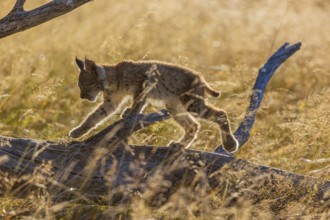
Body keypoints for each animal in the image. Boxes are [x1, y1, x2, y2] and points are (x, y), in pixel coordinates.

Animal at [69, 57, 238, 152]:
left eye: (86, 85)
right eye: (80, 86)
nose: (82, 97)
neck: (111, 78)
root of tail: (201, 78)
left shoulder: (143, 84)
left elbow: (137, 102)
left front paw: (130, 113)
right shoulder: (111, 101)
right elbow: (94, 116)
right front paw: (78, 131)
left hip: (192, 102)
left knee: (221, 113)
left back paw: (230, 145)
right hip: (174, 106)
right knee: (193, 125)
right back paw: (179, 145)